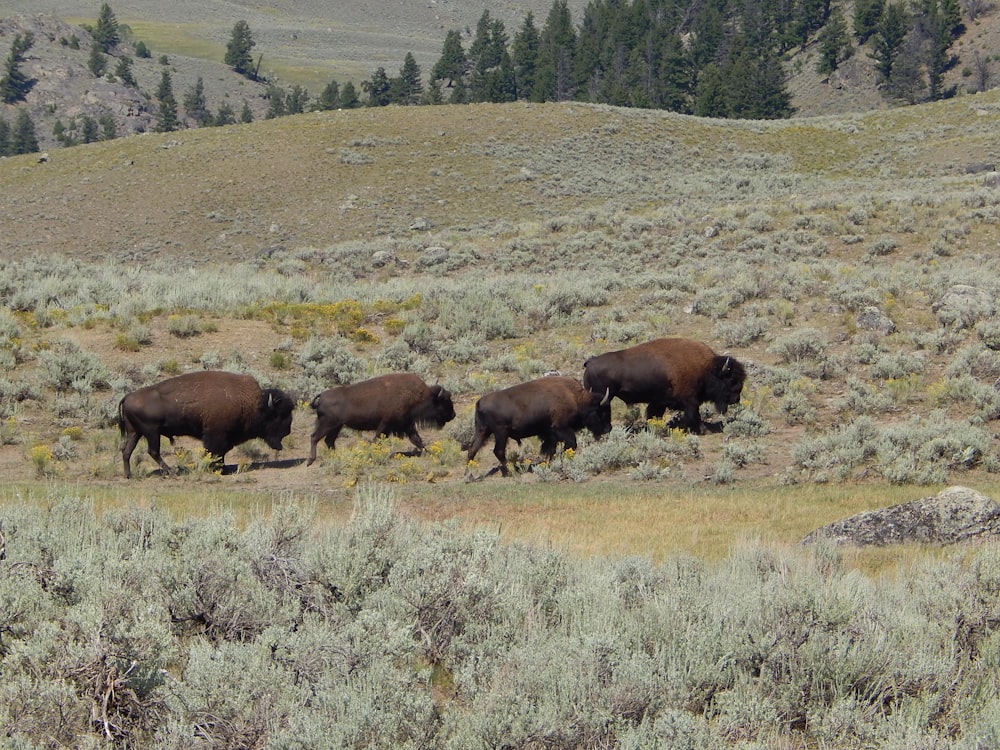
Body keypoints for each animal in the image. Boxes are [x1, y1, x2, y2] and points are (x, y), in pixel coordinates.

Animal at [118, 372, 292, 482]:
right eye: (278, 415)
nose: (288, 430)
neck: (252, 403)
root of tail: (127, 396)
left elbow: (220, 453)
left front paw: (223, 469)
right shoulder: (216, 436)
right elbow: (216, 452)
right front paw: (218, 469)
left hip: (135, 432)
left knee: (127, 450)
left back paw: (128, 475)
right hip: (151, 432)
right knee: (153, 451)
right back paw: (171, 472)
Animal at [306, 374, 458, 468]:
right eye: (445, 400)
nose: (453, 414)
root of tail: (322, 396)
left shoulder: (407, 425)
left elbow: (417, 440)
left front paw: (430, 452)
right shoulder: (386, 425)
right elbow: (377, 439)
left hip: (336, 426)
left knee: (329, 441)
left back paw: (335, 456)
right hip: (328, 425)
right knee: (315, 437)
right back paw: (310, 461)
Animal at [466, 378, 612, 478]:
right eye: (601, 412)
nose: (608, 429)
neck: (575, 398)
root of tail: (480, 402)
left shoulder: (550, 434)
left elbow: (550, 449)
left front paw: (549, 463)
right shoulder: (560, 428)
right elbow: (570, 444)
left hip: (483, 431)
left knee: (473, 449)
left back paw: (469, 474)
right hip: (500, 432)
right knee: (498, 451)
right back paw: (512, 471)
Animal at [584, 340, 748, 438]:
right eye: (731, 379)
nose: (736, 398)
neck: (706, 368)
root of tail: (590, 362)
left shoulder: (659, 402)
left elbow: (653, 414)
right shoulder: (690, 400)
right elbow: (694, 415)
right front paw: (702, 430)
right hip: (604, 398)